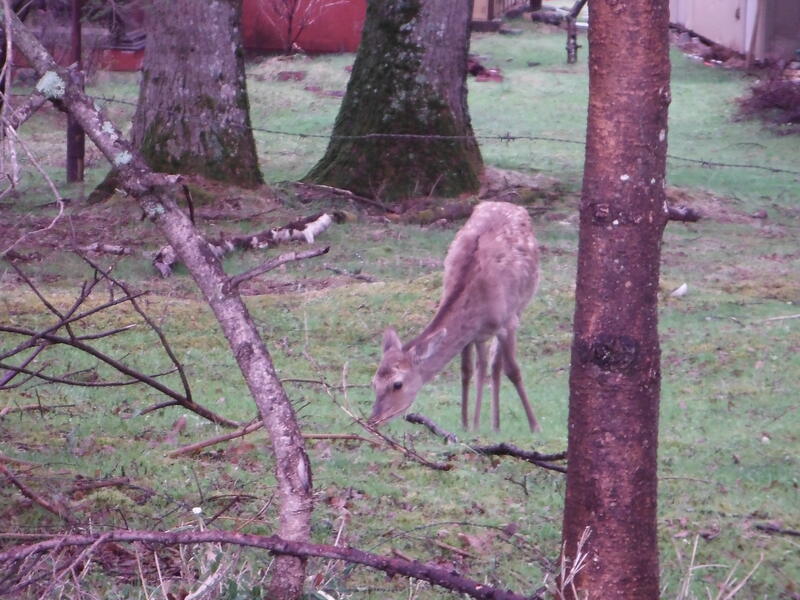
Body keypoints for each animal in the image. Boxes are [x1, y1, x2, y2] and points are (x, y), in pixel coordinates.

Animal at [369, 201, 541, 432]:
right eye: (374, 382)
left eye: (397, 384)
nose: (373, 420)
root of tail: (512, 205)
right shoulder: (471, 334)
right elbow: (466, 371)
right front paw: (466, 424)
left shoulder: (508, 322)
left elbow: (513, 370)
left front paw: (535, 426)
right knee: (486, 366)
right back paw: (492, 425)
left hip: (521, 304)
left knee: (495, 365)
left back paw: (495, 424)